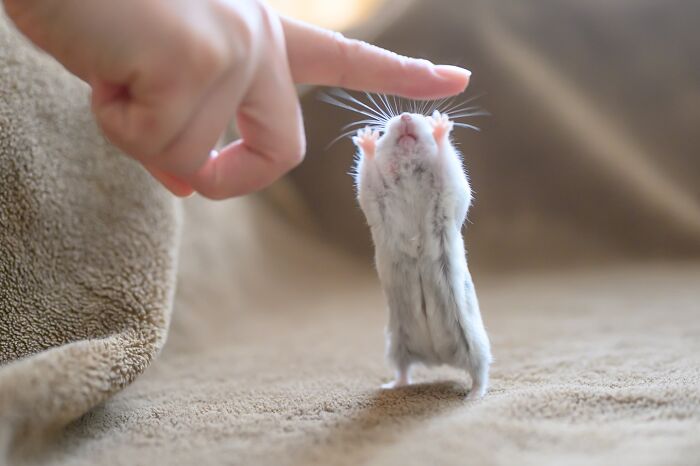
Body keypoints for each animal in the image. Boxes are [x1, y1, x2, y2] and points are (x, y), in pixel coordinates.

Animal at [352, 110, 492, 399]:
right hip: (396, 343)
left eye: (424, 119)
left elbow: (446, 164)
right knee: (403, 370)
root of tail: (438, 357)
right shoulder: (375, 197)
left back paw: (474, 395)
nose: (405, 116)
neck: (408, 169)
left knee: (480, 373)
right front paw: (367, 137)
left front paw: (440, 125)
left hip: (475, 343)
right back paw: (392, 385)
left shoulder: (450, 186)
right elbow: (369, 178)